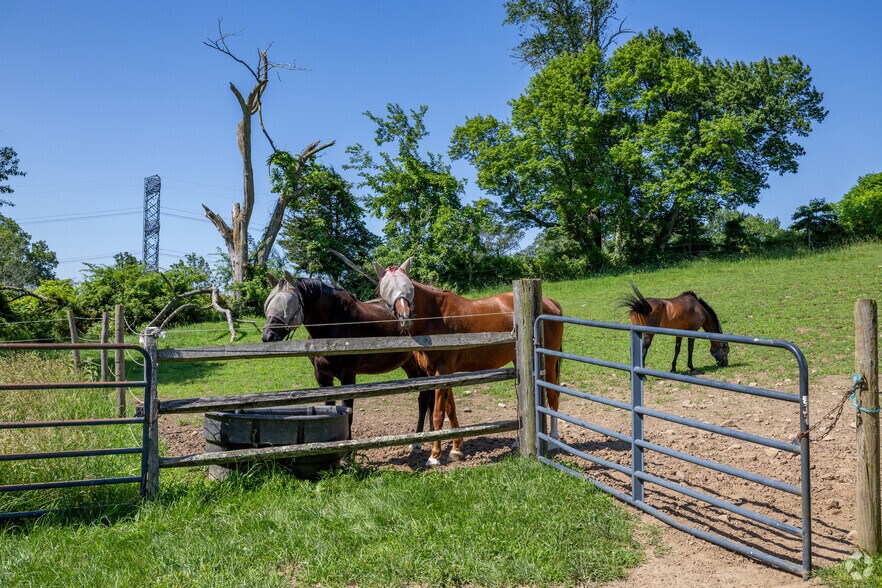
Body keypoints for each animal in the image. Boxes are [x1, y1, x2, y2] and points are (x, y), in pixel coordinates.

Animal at [261, 272, 434, 441]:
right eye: (268, 302)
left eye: (288, 303)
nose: (267, 336)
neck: (334, 324)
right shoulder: (322, 376)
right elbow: (329, 406)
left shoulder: (348, 376)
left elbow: (349, 414)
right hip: (410, 366)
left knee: (426, 398)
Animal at [373, 258, 566, 467]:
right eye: (385, 289)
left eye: (408, 287)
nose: (405, 316)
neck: (435, 317)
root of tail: (550, 303)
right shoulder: (439, 373)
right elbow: (450, 409)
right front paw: (456, 448)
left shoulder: (442, 370)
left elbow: (438, 413)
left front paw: (434, 456)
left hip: (549, 359)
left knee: (553, 394)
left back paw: (553, 440)